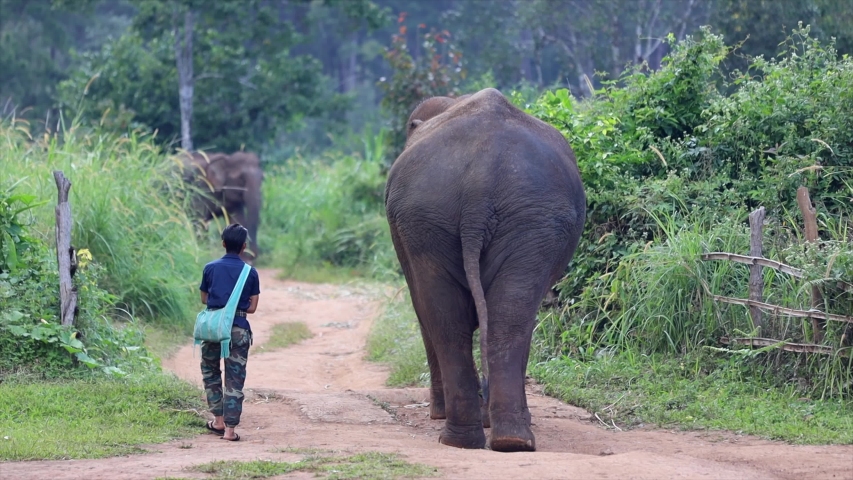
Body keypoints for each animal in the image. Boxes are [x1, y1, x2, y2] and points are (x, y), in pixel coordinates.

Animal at [384, 88, 586, 452]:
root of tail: (480, 184)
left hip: (511, 217)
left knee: (464, 321)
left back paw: (488, 438)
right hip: (517, 218)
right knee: (494, 319)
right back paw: (497, 438)